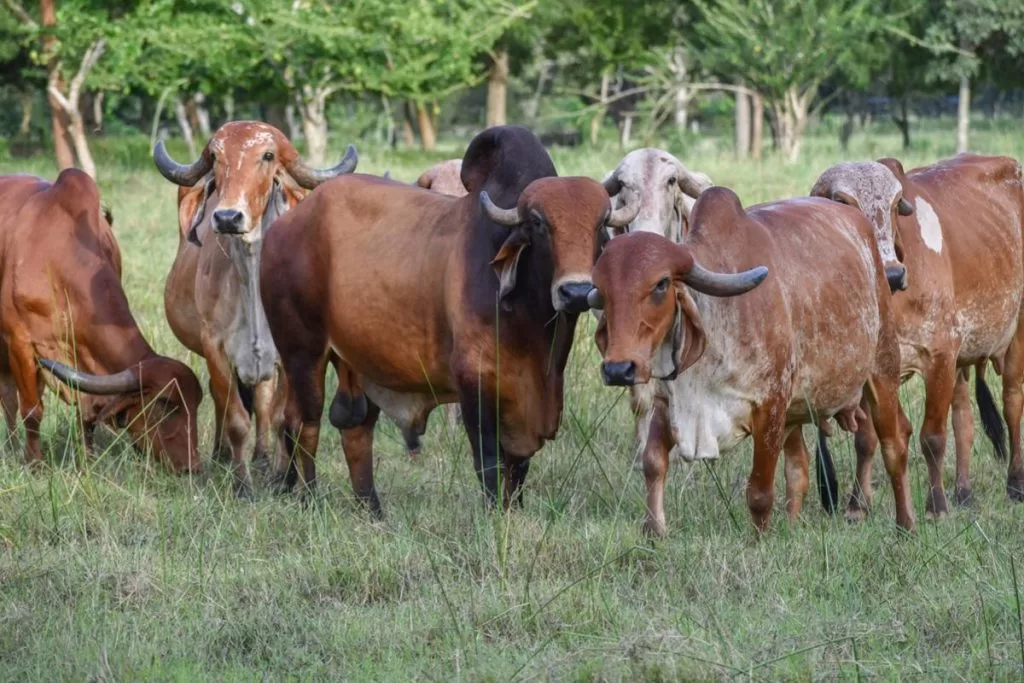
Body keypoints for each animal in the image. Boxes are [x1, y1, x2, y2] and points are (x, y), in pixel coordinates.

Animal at [0, 167, 203, 473]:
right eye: (165, 406)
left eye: (197, 405)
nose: (192, 467)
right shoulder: (19, 343)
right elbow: (32, 410)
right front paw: (35, 464)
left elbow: (87, 416)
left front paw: (89, 462)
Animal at [150, 121, 360, 497]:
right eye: (216, 156)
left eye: (268, 155)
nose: (227, 216)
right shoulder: (215, 347)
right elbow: (235, 418)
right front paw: (241, 484)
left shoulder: (287, 352)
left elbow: (280, 417)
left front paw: (279, 475)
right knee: (224, 401)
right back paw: (222, 455)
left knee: (263, 402)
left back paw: (262, 458)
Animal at [260, 126, 634, 511]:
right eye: (539, 223)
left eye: (600, 224)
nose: (575, 291)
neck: (532, 327)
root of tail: (284, 226)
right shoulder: (475, 383)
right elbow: (489, 461)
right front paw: (494, 514)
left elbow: (519, 465)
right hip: (302, 353)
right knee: (303, 422)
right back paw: (309, 498)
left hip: (357, 360)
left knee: (354, 425)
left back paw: (372, 510)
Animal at [589, 189, 917, 536]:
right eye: (603, 291)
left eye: (661, 284)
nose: (618, 369)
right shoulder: (668, 403)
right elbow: (653, 463)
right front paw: (654, 532)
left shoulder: (769, 407)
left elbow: (759, 492)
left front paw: (758, 540)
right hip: (797, 409)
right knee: (798, 469)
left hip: (882, 369)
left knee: (894, 444)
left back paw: (906, 524)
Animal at [806, 154, 1024, 516]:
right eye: (843, 202)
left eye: (896, 205)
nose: (893, 275)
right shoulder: (879, 370)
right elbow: (868, 439)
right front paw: (857, 505)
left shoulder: (939, 354)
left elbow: (931, 438)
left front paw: (936, 505)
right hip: (960, 362)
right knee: (963, 418)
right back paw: (963, 491)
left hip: (1014, 334)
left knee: (1012, 402)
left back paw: (1015, 483)